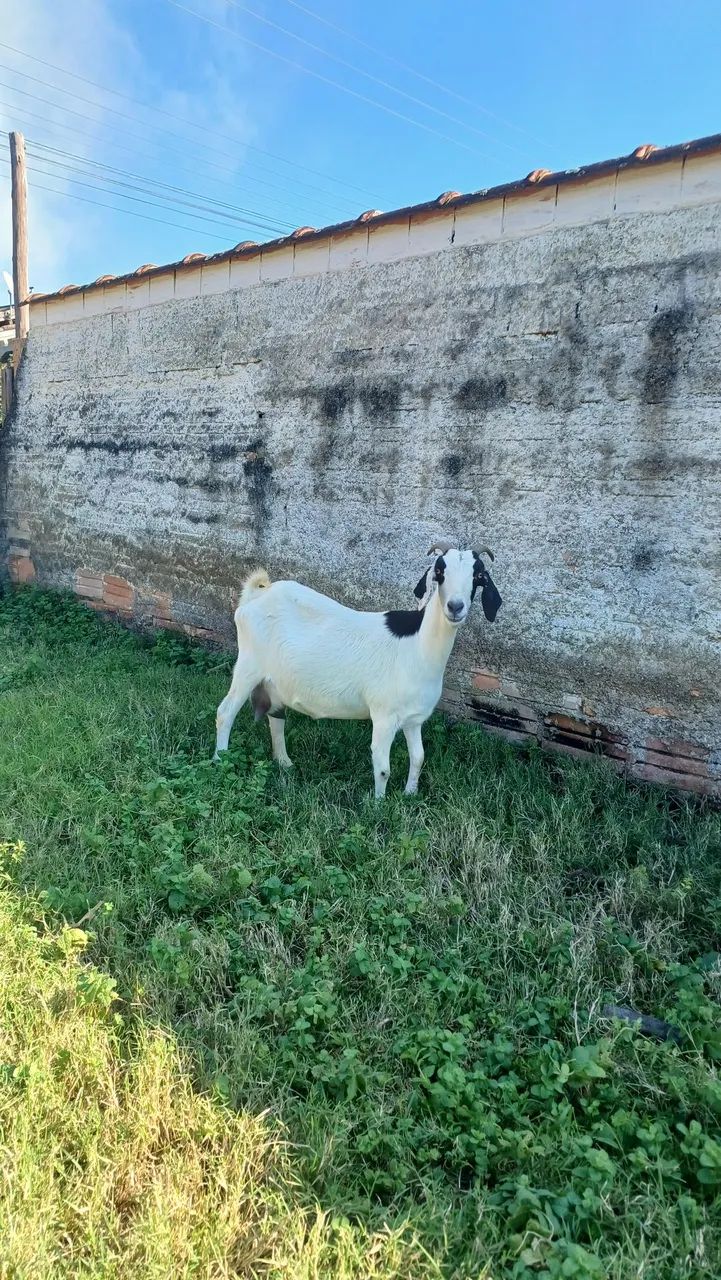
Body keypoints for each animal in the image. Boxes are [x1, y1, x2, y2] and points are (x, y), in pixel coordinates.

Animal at [214, 541, 502, 798]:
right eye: (440, 572)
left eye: (478, 575)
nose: (455, 606)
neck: (419, 645)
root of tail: (258, 593)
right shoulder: (384, 715)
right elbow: (383, 768)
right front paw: (378, 806)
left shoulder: (414, 718)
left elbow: (419, 758)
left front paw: (410, 794)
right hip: (249, 666)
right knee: (225, 712)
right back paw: (219, 761)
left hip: (276, 679)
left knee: (276, 716)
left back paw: (284, 762)